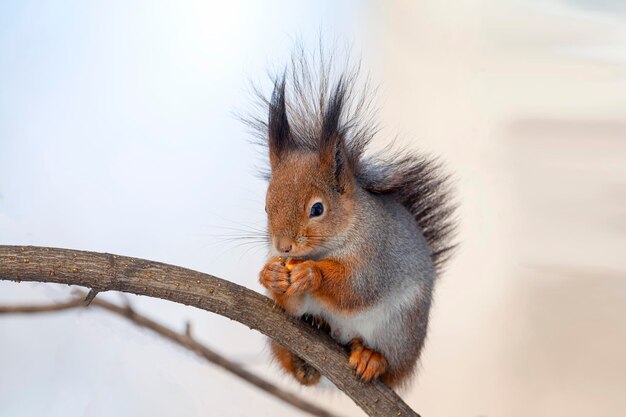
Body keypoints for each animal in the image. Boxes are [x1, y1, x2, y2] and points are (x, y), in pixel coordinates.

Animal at [246, 52, 456, 390]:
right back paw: (311, 340)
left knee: (390, 364)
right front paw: (272, 275)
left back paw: (371, 357)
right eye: (266, 208)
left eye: (318, 209)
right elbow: (290, 306)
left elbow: (355, 289)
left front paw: (311, 274)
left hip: (401, 330)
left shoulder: (376, 257)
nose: (284, 247)